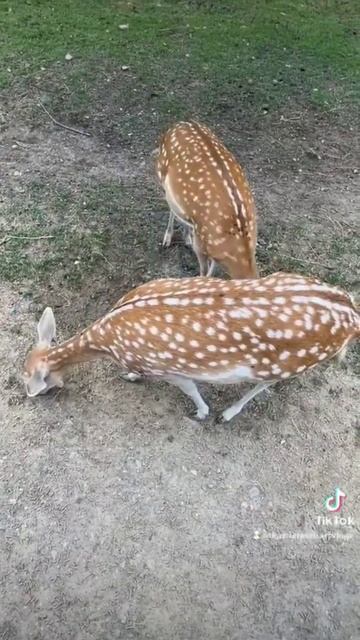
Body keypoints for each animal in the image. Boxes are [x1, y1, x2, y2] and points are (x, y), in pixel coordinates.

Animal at [23, 272, 360, 422]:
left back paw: (228, 413)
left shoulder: (169, 368)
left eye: (28, 379)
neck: (108, 341)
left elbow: (191, 390)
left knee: (265, 383)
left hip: (289, 361)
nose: (29, 396)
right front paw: (131, 376)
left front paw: (201, 413)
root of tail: (352, 317)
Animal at [156, 121, 258, 278]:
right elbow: (204, 270)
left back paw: (186, 237)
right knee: (171, 207)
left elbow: (212, 266)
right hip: (160, 172)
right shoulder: (201, 239)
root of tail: (181, 123)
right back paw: (168, 238)